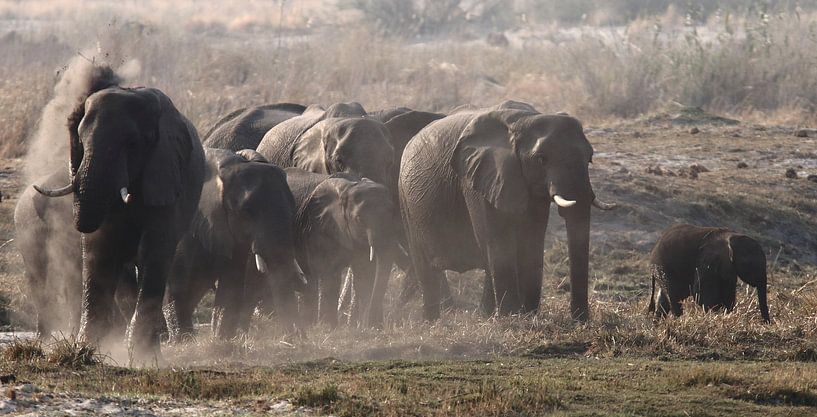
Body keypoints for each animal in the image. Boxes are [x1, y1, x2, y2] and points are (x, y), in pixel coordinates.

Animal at [33, 66, 205, 361]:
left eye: (133, 143)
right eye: (79, 139)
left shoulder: (166, 173)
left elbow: (154, 249)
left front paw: (143, 355)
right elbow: (98, 248)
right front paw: (88, 348)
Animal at [164, 148, 306, 340]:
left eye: (292, 208)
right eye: (246, 211)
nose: (296, 337)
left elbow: (231, 286)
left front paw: (221, 340)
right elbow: (178, 287)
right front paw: (183, 341)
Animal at [285, 167, 402, 328]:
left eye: (392, 213)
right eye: (359, 219)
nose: (377, 325)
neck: (349, 187)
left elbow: (364, 274)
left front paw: (362, 327)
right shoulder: (319, 227)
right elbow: (330, 275)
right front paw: (329, 327)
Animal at [399, 102, 617, 321]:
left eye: (590, 158)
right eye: (541, 159)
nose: (580, 320)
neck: (523, 120)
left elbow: (532, 239)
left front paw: (527, 316)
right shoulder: (478, 177)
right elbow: (497, 241)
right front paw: (511, 317)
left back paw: (484, 315)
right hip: (405, 199)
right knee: (425, 266)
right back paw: (433, 321)